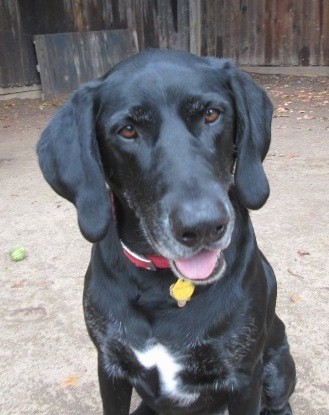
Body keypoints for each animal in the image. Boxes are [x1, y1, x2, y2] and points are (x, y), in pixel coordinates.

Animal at [37, 50, 296, 414]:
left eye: (211, 114)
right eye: (127, 130)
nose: (203, 226)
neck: (162, 289)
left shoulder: (245, 377)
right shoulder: (110, 367)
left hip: (277, 365)